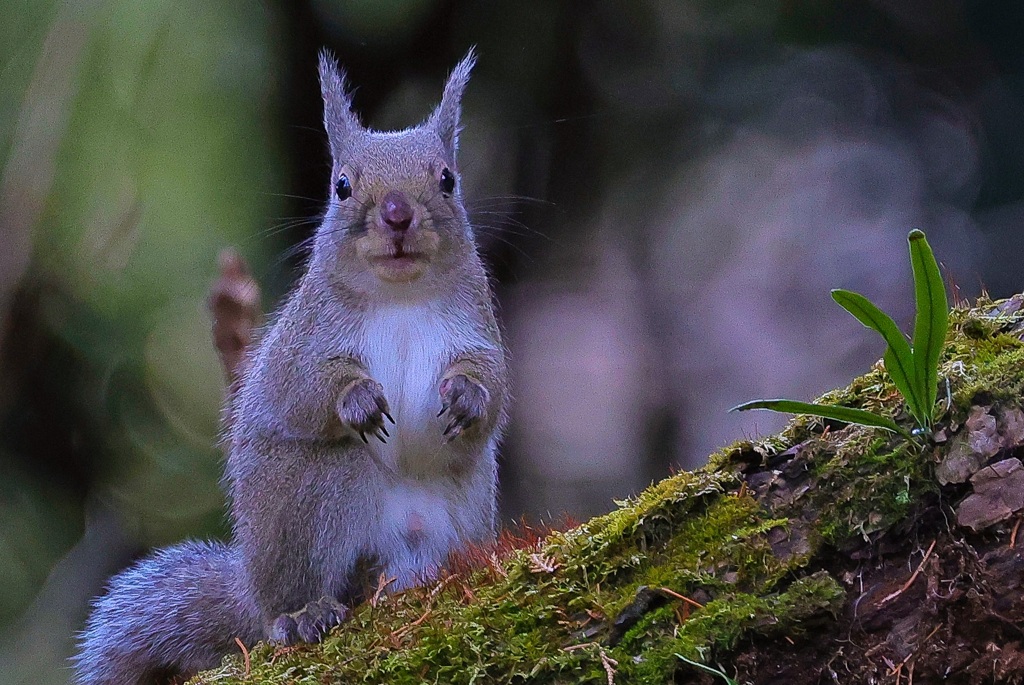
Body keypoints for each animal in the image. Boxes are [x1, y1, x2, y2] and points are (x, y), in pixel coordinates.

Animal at [72, 49, 507, 683]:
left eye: (448, 179)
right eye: (342, 185)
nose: (397, 214)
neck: (400, 296)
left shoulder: (478, 330)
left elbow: (494, 386)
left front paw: (468, 397)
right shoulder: (301, 342)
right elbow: (300, 389)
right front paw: (356, 399)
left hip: (465, 510)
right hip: (308, 498)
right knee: (301, 587)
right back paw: (302, 615)